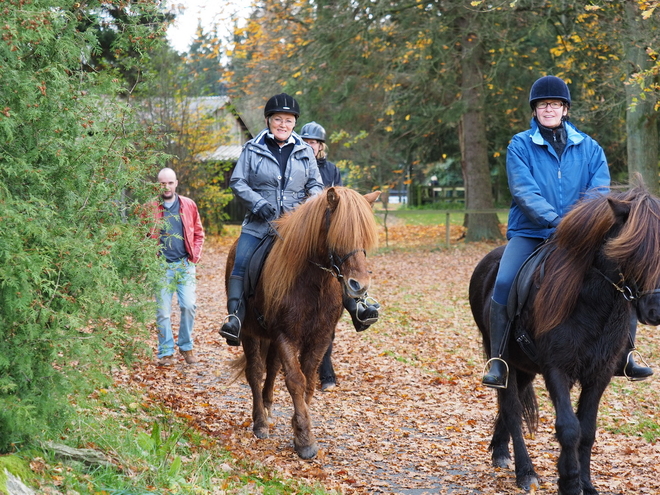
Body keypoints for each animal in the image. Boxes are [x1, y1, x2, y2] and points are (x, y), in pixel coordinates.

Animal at [227, 187, 382, 462]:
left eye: (364, 237)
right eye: (338, 234)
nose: (359, 286)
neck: (313, 283)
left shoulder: (320, 337)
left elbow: (308, 381)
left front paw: (299, 427)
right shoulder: (286, 336)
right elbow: (296, 381)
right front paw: (304, 439)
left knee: (272, 369)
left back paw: (268, 410)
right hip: (249, 333)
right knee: (255, 372)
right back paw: (260, 422)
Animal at [470, 185, 660, 495]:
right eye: (632, 250)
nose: (655, 310)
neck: (592, 303)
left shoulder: (600, 373)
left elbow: (588, 429)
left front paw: (586, 483)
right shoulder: (556, 369)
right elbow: (569, 428)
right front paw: (570, 483)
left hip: (523, 368)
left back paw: (500, 452)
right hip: (504, 360)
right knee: (511, 409)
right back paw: (526, 472)